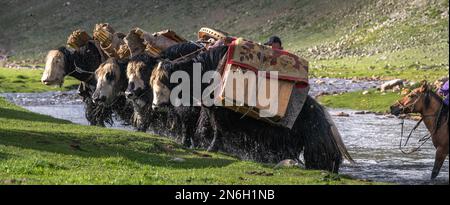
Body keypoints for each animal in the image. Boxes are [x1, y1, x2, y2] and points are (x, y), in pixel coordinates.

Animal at [149, 45, 354, 172]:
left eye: (165, 80)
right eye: (153, 80)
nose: (156, 106)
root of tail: (325, 119)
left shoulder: (219, 110)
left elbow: (217, 129)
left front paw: (211, 148)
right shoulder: (209, 108)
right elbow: (206, 126)